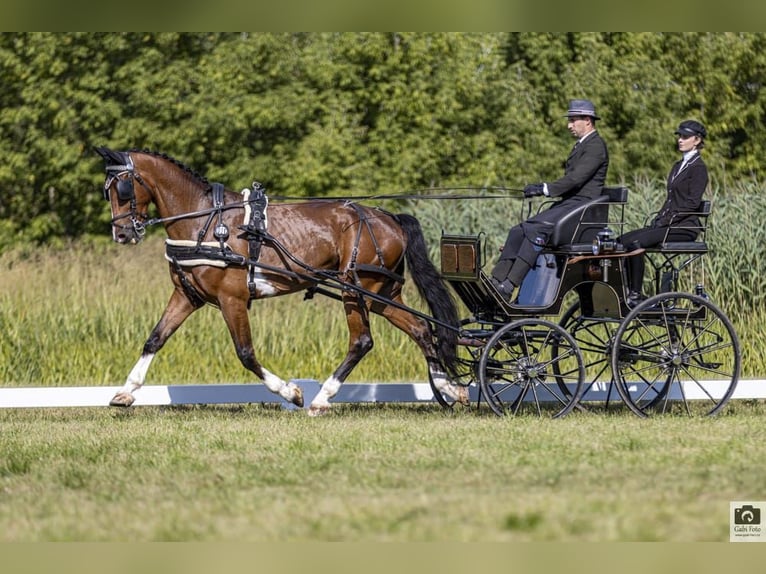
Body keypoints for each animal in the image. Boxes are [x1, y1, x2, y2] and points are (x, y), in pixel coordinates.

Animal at [94, 148, 468, 416]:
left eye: (124, 189)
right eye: (106, 191)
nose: (122, 234)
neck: (207, 222)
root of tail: (388, 217)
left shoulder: (231, 299)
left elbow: (245, 353)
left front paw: (292, 392)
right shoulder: (188, 295)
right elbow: (154, 339)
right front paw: (125, 392)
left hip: (355, 289)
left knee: (362, 341)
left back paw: (322, 398)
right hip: (380, 294)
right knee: (421, 330)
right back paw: (449, 388)